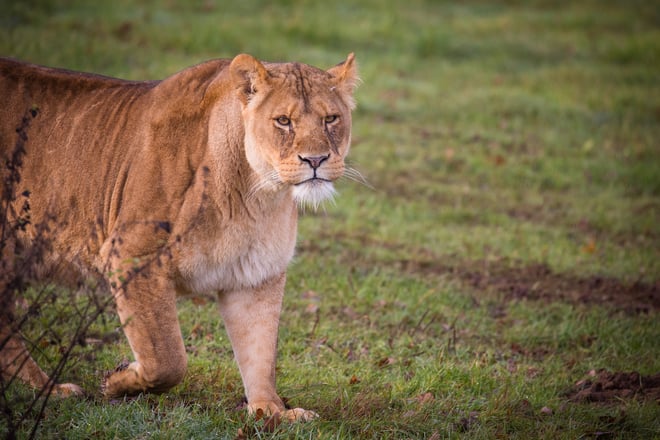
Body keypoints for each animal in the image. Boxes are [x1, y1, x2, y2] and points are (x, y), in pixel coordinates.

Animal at [0, 53, 358, 421]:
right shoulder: (132, 256)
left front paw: (271, 412)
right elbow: (167, 359)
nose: (316, 159)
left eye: (330, 118)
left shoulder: (257, 277)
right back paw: (51, 390)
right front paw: (116, 382)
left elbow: (260, 355)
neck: (254, 195)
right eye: (283, 121)